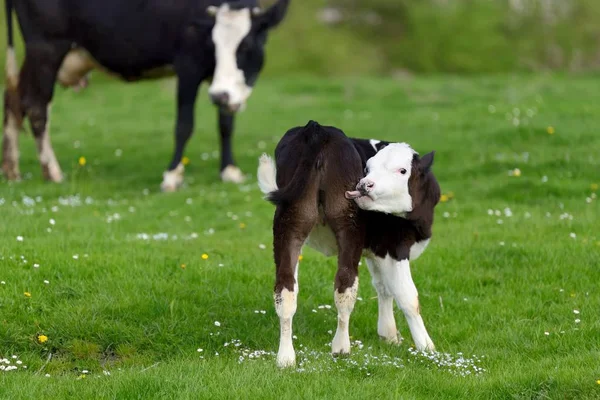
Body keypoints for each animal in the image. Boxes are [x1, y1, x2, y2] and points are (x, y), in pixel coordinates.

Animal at [0, 0, 290, 191]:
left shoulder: (220, 85)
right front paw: (172, 175)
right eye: (213, 45)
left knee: (15, 100)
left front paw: (229, 171)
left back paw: (12, 171)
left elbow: (226, 124)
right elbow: (184, 124)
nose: (219, 96)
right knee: (35, 105)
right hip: (46, 48)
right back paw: (52, 172)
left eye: (247, 45)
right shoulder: (187, 66)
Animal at [254, 120, 440, 368]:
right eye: (367, 168)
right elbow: (407, 295)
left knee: (285, 288)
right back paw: (341, 348)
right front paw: (426, 347)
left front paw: (389, 335)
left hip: (290, 219)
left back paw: (286, 357)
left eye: (402, 170)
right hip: (348, 225)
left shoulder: (377, 249)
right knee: (345, 284)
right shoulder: (395, 246)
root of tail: (317, 129)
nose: (364, 185)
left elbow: (384, 287)